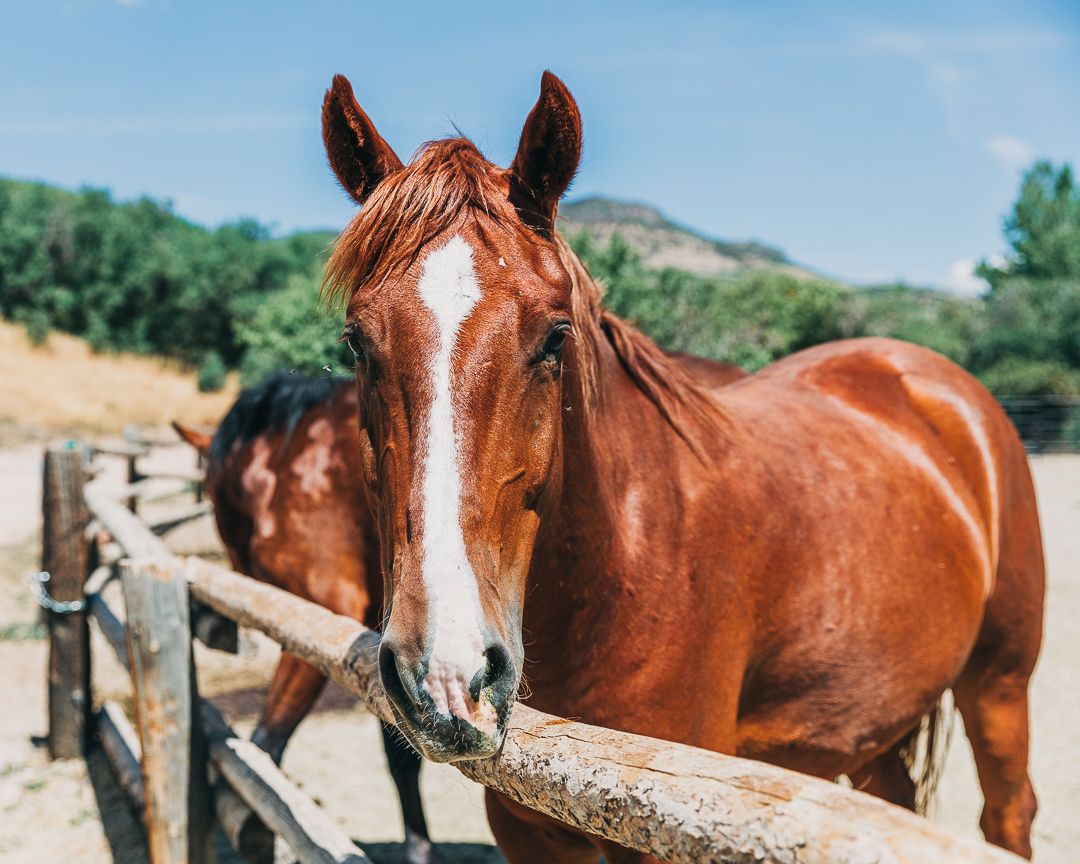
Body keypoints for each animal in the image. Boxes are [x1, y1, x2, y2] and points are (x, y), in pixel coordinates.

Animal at [317, 71, 1044, 861]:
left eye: (555, 336)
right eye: (357, 341)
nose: (448, 674)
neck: (624, 559)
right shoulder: (525, 826)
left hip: (1000, 686)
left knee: (1010, 811)